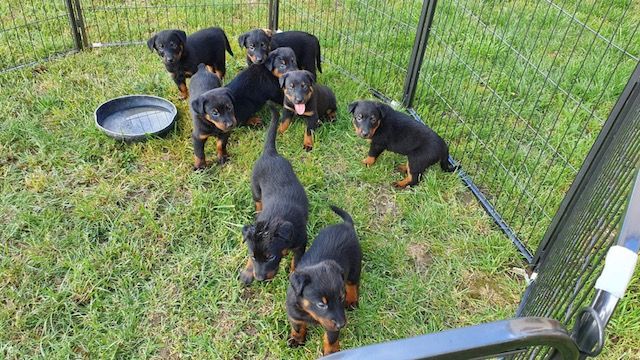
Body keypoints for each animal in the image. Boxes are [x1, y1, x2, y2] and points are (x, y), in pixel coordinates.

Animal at [240, 105, 310, 286]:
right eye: (253, 256)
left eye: (270, 256)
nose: (259, 278)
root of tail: (270, 152)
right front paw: (247, 272)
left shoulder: (301, 242)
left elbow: (296, 262)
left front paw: (293, 277)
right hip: (256, 190)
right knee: (258, 202)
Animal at [288, 204, 362, 356]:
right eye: (321, 304)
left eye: (341, 297)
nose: (342, 324)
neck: (309, 312)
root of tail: (346, 225)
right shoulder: (294, 315)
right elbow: (297, 328)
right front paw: (297, 340)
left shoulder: (331, 325)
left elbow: (331, 338)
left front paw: (331, 352)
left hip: (355, 267)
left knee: (352, 284)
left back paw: (352, 300)